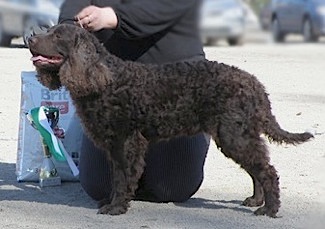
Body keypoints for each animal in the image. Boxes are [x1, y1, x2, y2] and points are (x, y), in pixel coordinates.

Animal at [29, 24, 312, 217]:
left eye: (57, 35)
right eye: (49, 31)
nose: (30, 37)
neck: (106, 80)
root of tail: (255, 84)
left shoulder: (126, 142)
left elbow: (123, 178)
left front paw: (116, 207)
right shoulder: (114, 145)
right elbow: (116, 177)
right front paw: (110, 202)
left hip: (234, 136)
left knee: (267, 171)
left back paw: (269, 210)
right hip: (237, 135)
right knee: (258, 169)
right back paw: (256, 201)